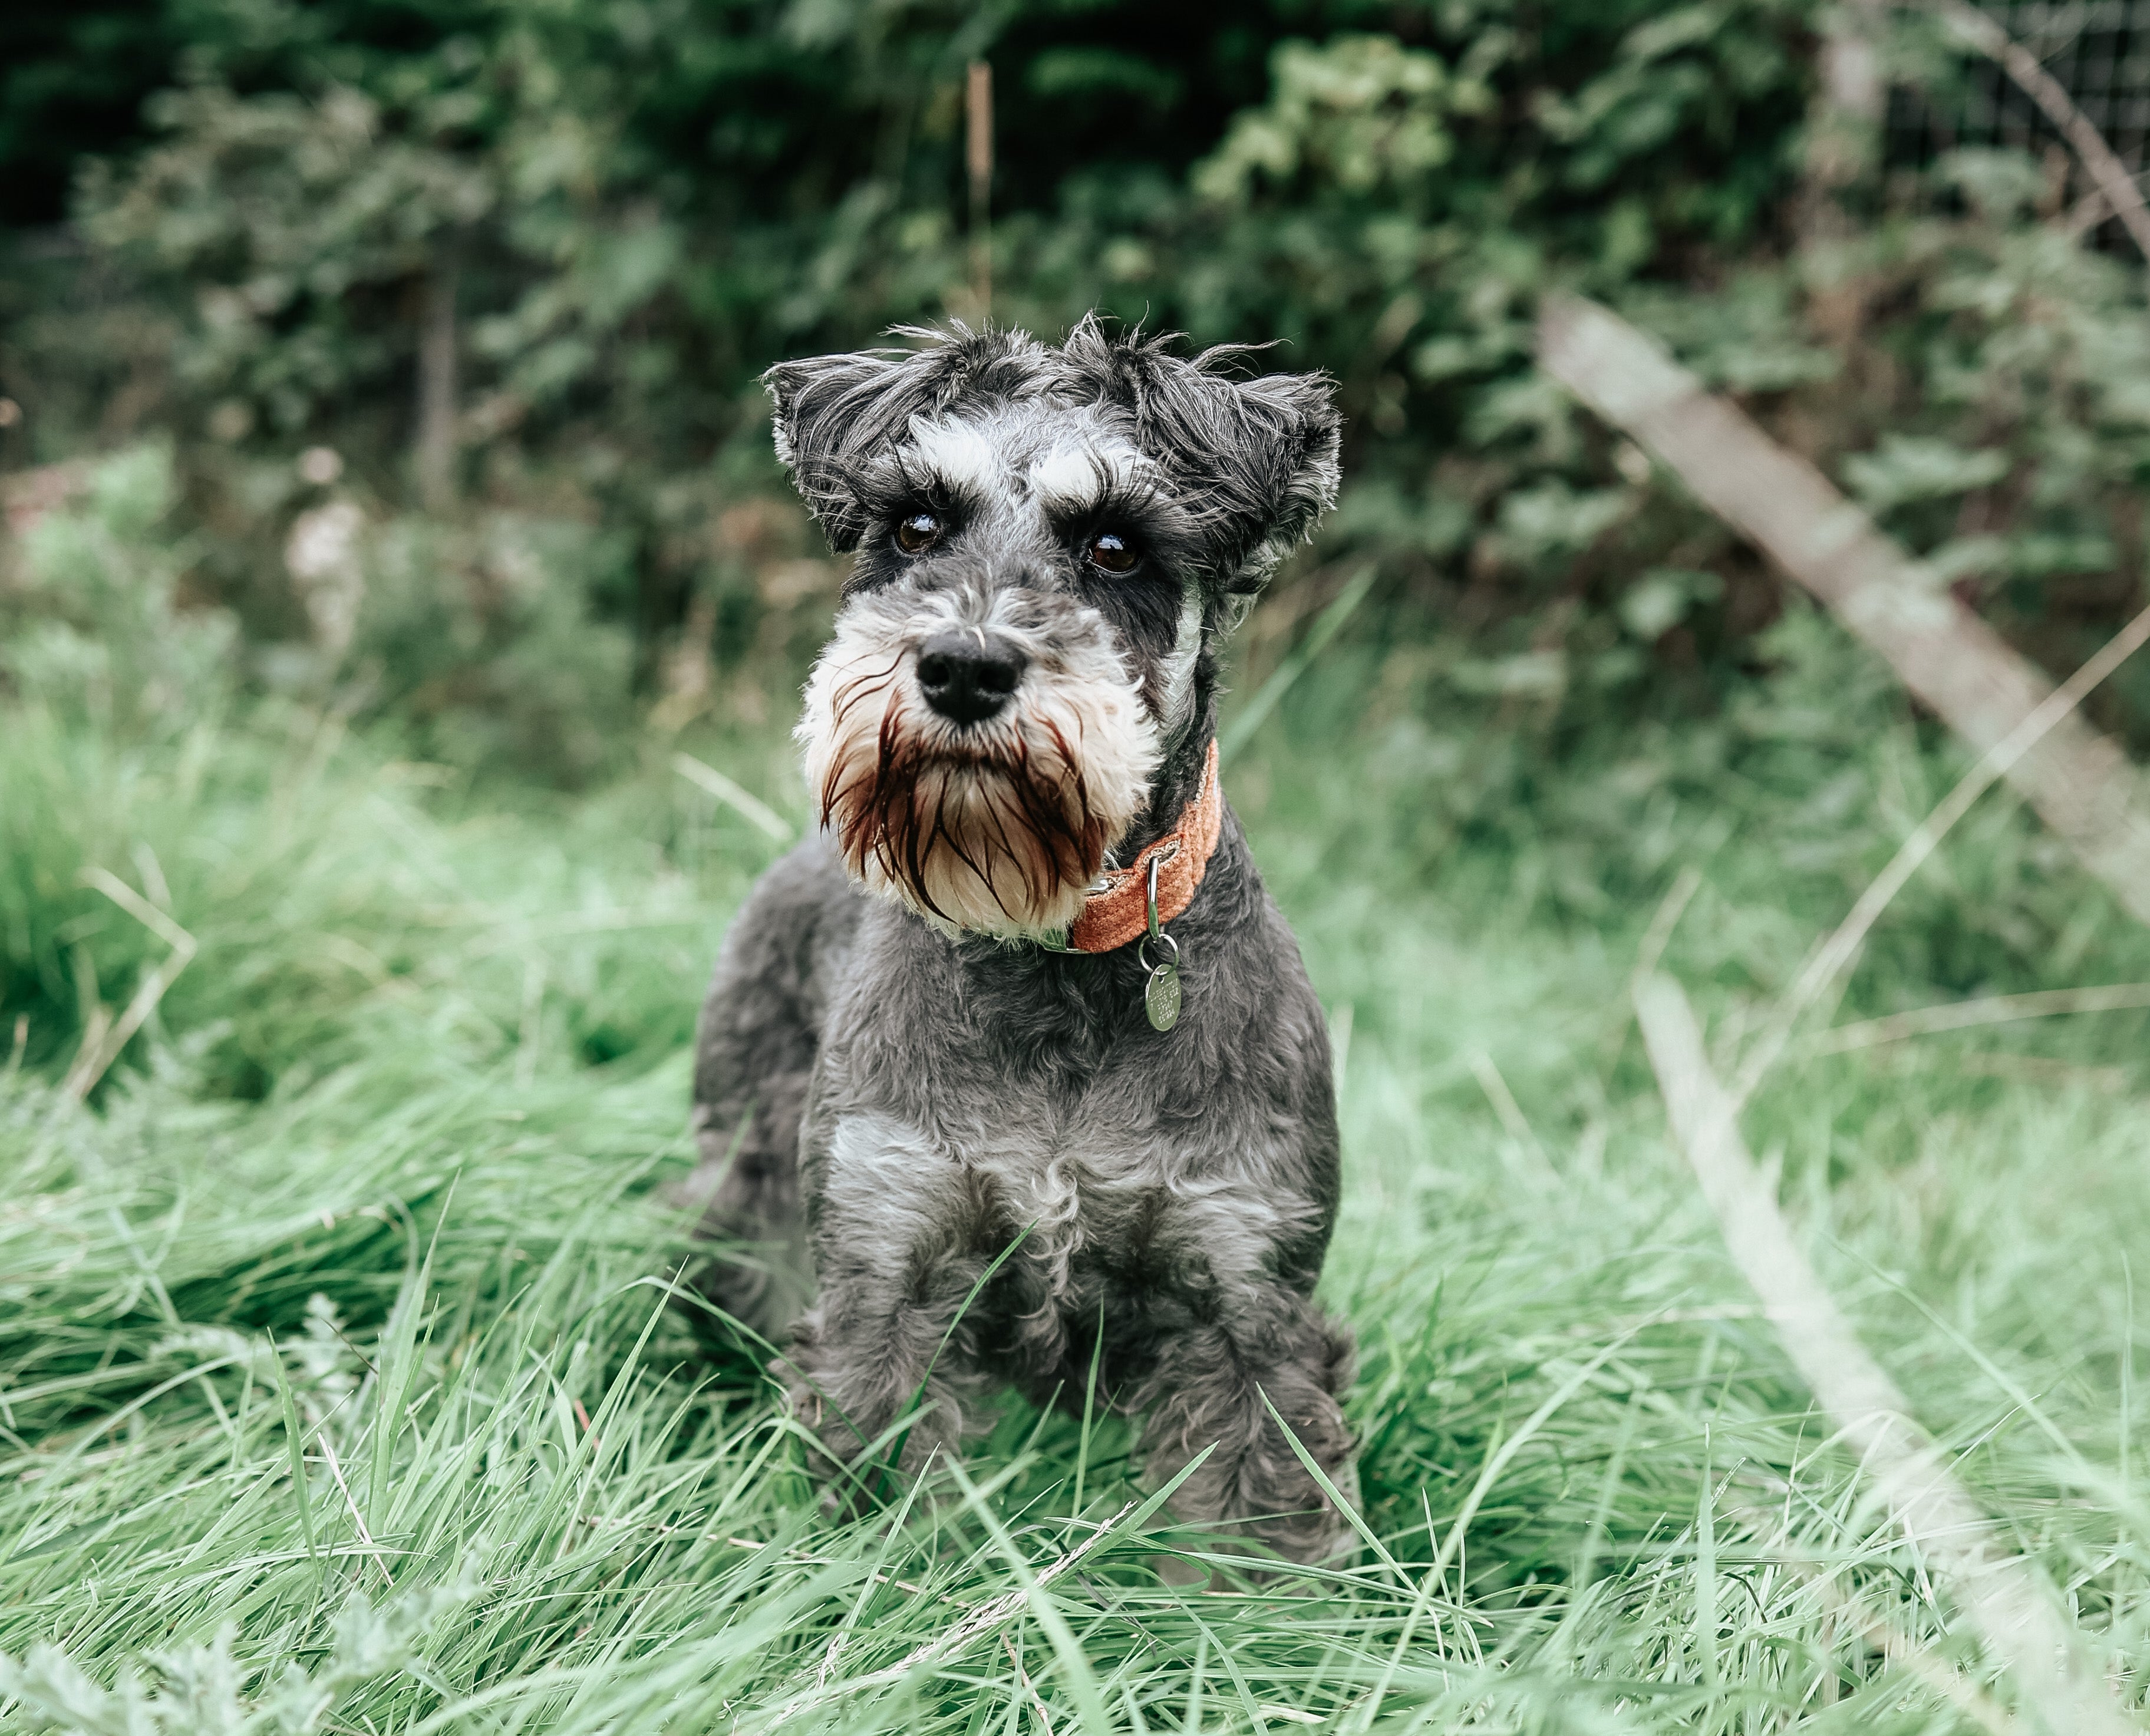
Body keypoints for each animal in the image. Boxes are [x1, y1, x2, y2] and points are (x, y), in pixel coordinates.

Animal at [679, 315, 1358, 1572]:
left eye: (1114, 546)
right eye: (915, 525)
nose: (962, 665)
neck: (1052, 955)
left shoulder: (1249, 1307)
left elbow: (1248, 1541)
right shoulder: (885, 1271)